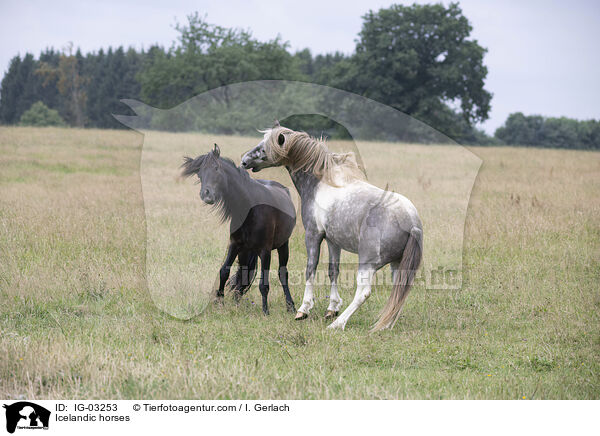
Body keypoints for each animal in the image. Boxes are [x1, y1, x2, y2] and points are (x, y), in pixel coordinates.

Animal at [182, 146, 296, 314]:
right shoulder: (235, 245)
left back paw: (290, 306)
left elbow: (264, 283)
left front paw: (265, 311)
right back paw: (237, 301)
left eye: (216, 168)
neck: (251, 208)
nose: (206, 194)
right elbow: (224, 271)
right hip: (246, 251)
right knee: (243, 273)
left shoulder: (265, 250)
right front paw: (219, 301)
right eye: (199, 173)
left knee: (283, 274)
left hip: (283, 246)